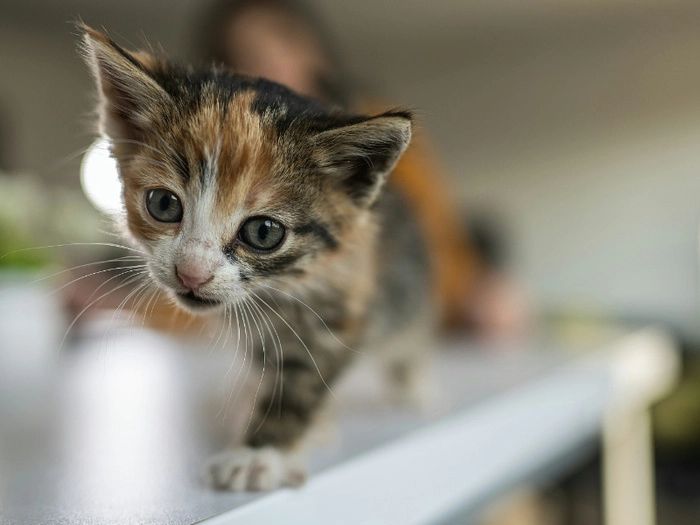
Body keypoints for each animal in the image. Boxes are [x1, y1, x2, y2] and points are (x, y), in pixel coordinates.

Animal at [79, 25, 434, 492]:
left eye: (263, 232)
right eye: (163, 204)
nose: (191, 273)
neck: (277, 289)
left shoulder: (345, 309)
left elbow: (301, 384)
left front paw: (259, 453)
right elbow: (272, 366)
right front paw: (291, 426)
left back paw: (415, 387)